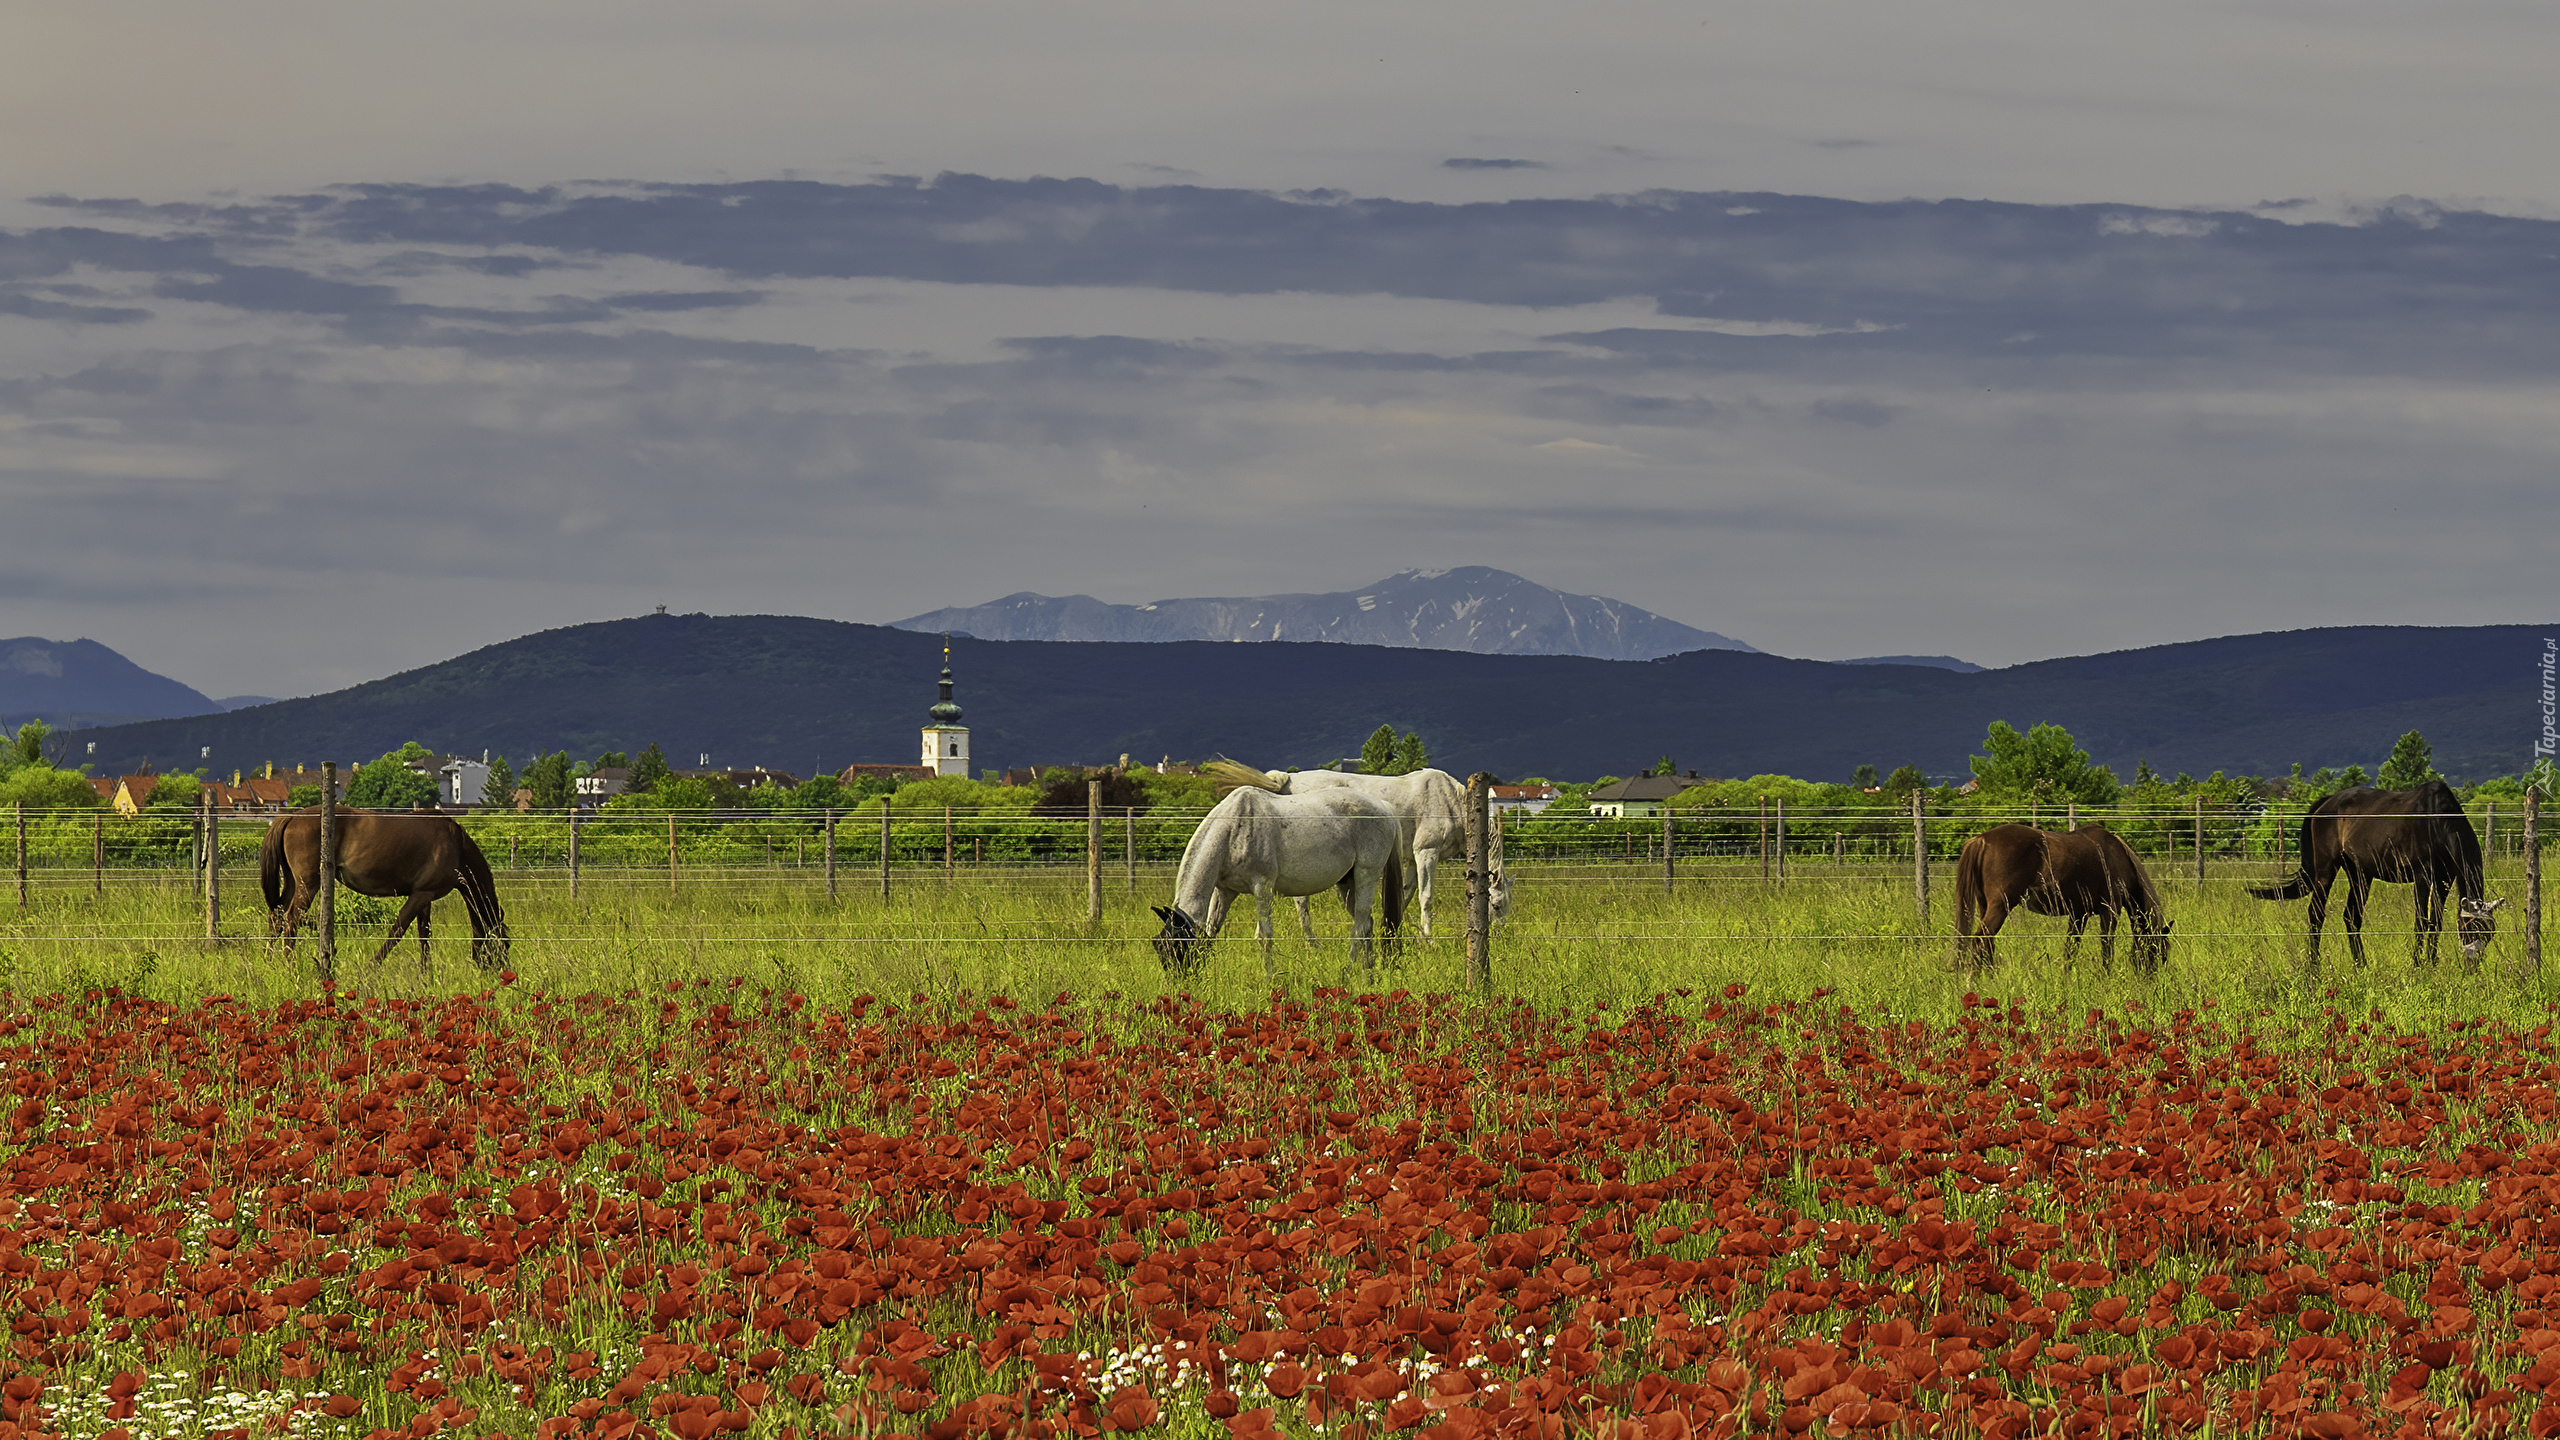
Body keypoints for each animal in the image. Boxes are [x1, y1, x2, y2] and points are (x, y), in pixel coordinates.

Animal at [261, 799, 509, 968]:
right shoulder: (420, 895)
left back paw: (269, 961)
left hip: (293, 882)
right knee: (291, 919)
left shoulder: (425, 896)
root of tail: (291, 818)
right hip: (308, 883)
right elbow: (397, 931)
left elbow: (424, 935)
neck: (455, 844)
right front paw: (373, 965)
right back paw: (292, 966)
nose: (502, 973)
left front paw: (425, 974)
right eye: (505, 944)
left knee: (277, 917)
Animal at [1157, 778, 1413, 978]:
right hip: (1347, 884)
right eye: (1160, 947)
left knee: (1358, 927)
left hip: (1366, 875)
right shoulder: (1225, 891)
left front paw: (1270, 979)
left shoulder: (1262, 887)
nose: (1182, 983)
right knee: (1367, 925)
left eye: (1178, 946)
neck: (1235, 827)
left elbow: (1264, 936)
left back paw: (1348, 975)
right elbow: (1212, 932)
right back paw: (1368, 975)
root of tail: (1385, 808)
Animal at [1208, 758, 1505, 937]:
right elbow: (1426, 897)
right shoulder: (1425, 853)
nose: (1501, 934)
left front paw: (1394, 930)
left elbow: (1404, 895)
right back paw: (1312, 942)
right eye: (1497, 905)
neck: (1452, 801)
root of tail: (1287, 780)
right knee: (1301, 901)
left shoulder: (1410, 860)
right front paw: (1428, 939)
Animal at [1945, 819, 2170, 963]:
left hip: (1985, 905)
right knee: (1981, 941)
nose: (2151, 981)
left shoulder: (2078, 915)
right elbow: (2107, 949)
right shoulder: (2110, 910)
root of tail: (1982, 839)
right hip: (2000, 906)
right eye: (2160, 954)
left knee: (1987, 944)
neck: (2119, 858)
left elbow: (2070, 950)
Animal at [2242, 778, 2498, 968]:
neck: (2438, 822)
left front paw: (2432, 964)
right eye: (2469, 928)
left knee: (2351, 917)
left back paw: (2361, 965)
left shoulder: (2444, 879)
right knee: (2316, 914)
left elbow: (2436, 922)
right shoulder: (2423, 876)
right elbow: (2421, 921)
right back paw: (2314, 966)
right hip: (2326, 869)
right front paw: (2417, 965)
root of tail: (2326, 802)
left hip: (2359, 874)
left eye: (2489, 933)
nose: (2473, 966)